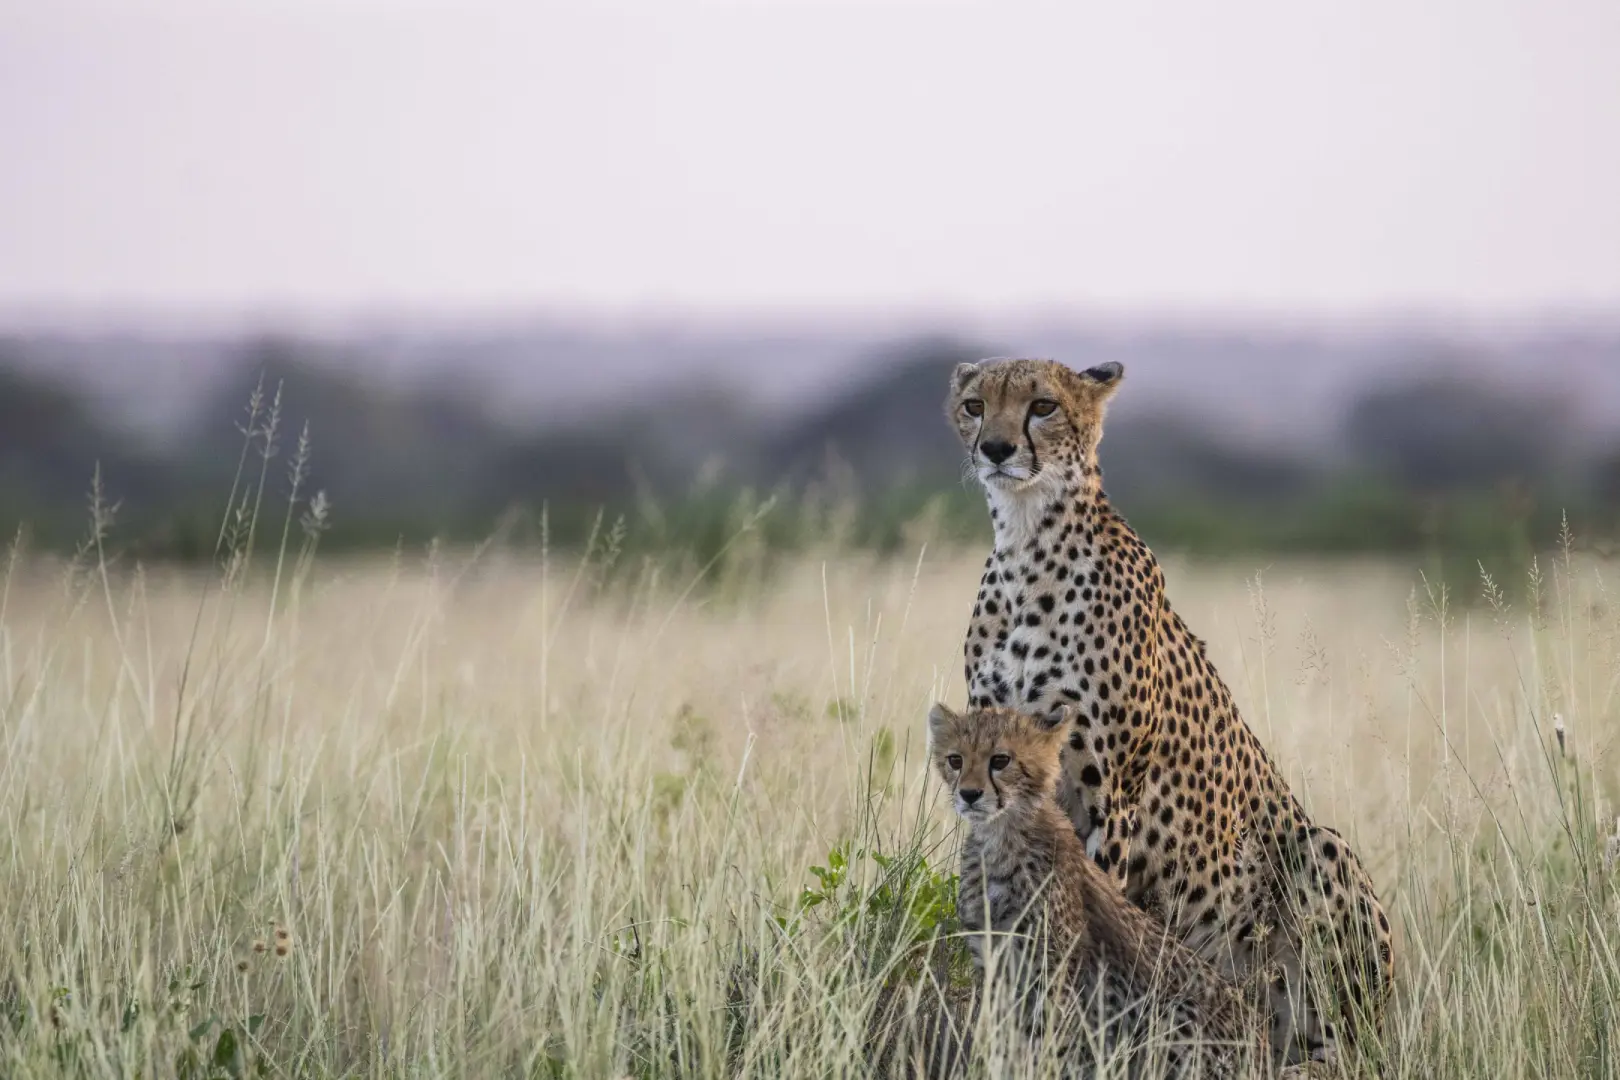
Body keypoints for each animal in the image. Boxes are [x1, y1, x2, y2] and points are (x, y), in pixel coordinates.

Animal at [919, 702, 1274, 1079]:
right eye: (955, 760)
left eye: (1000, 760)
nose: (969, 794)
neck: (1000, 837)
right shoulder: (991, 960)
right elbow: (999, 1035)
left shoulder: (1055, 971)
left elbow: (1049, 1039)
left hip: (1176, 1014)